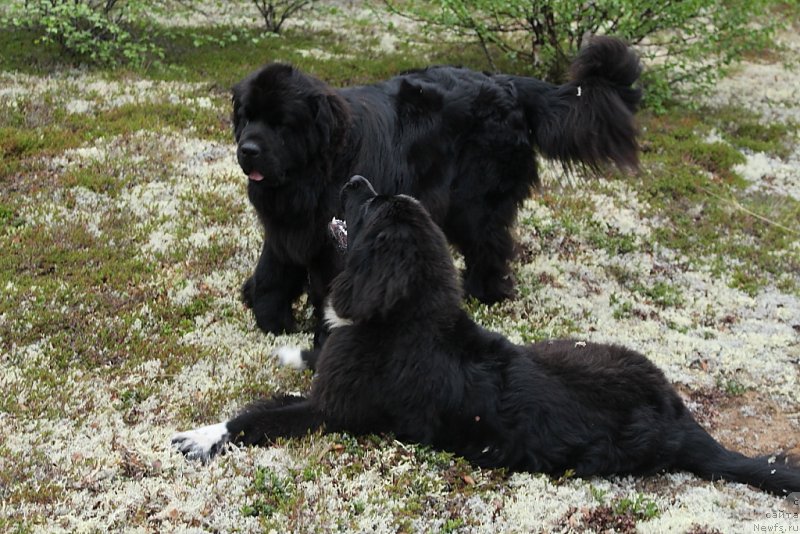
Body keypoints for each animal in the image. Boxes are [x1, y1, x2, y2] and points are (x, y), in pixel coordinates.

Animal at [173, 177, 800, 498]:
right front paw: (291, 350)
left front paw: (204, 437)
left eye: (372, 204)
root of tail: (682, 423)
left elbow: (259, 417)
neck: (404, 315)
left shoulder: (332, 410)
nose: (354, 179)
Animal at [233, 36, 644, 344]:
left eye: (281, 123)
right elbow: (273, 269)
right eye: (247, 117)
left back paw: (485, 292)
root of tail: (508, 84)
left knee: (490, 242)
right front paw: (269, 315)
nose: (248, 149)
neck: (312, 171)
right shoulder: (289, 227)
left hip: (475, 200)